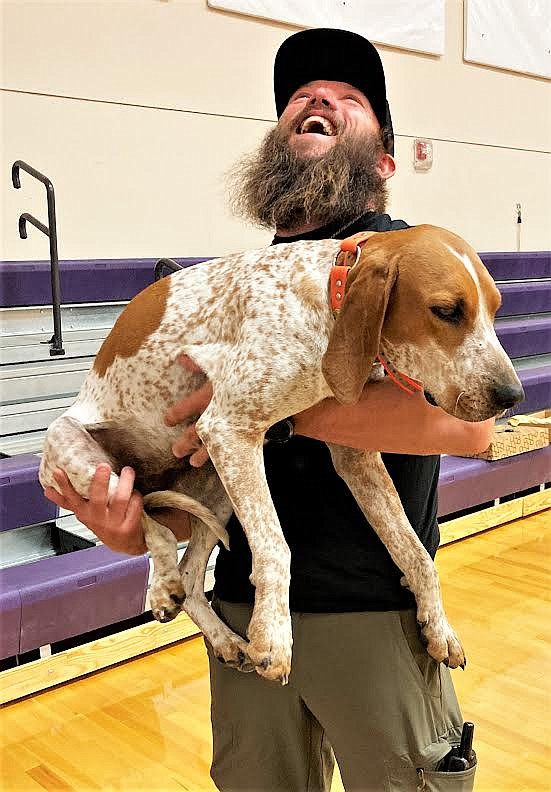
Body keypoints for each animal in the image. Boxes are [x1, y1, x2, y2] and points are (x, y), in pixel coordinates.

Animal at [41, 226, 524, 684]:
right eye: (446, 311)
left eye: (495, 309)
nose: (511, 396)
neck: (327, 298)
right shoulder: (229, 428)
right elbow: (276, 547)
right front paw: (273, 635)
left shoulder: (354, 458)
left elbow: (416, 554)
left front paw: (439, 628)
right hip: (80, 458)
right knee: (153, 528)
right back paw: (164, 589)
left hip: (218, 488)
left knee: (192, 578)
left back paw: (221, 636)